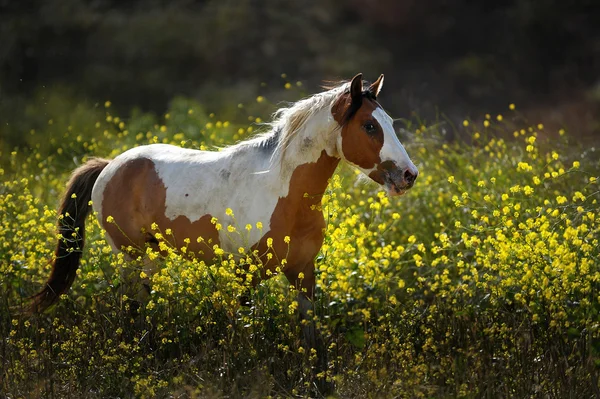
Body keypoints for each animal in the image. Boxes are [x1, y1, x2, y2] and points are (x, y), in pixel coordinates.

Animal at [28, 74, 418, 384]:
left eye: (389, 122)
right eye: (369, 126)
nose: (408, 175)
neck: (281, 191)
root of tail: (110, 165)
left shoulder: (302, 272)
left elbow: (310, 334)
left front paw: (317, 381)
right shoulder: (244, 272)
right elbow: (239, 329)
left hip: (152, 256)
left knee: (140, 306)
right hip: (132, 254)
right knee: (129, 306)